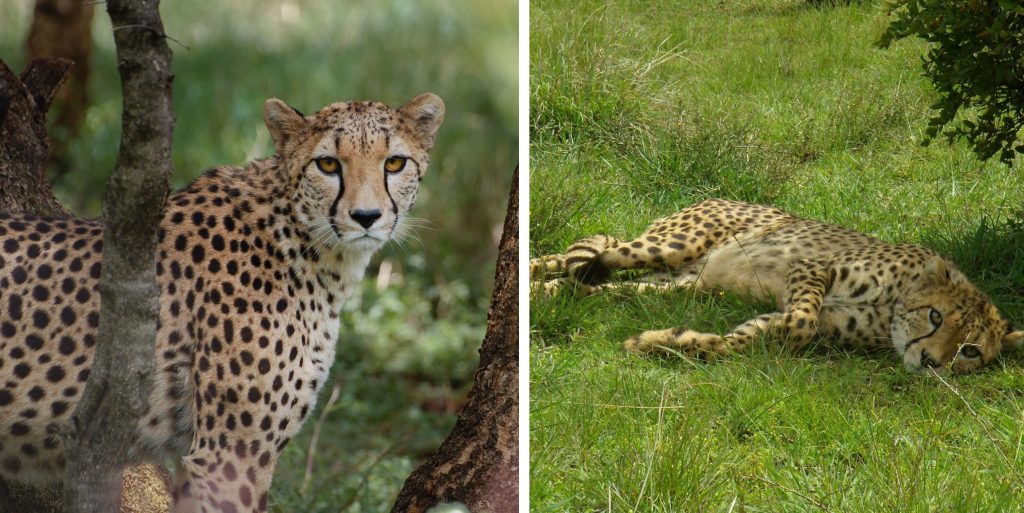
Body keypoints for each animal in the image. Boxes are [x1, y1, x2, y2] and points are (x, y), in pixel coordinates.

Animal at [532, 196, 1019, 372]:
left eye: (969, 351)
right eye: (936, 316)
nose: (932, 362)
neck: (894, 311)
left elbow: (738, 341)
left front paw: (660, 341)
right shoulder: (811, 267)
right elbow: (800, 321)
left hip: (679, 283)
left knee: (593, 287)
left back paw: (549, 294)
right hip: (668, 244)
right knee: (597, 250)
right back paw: (539, 278)